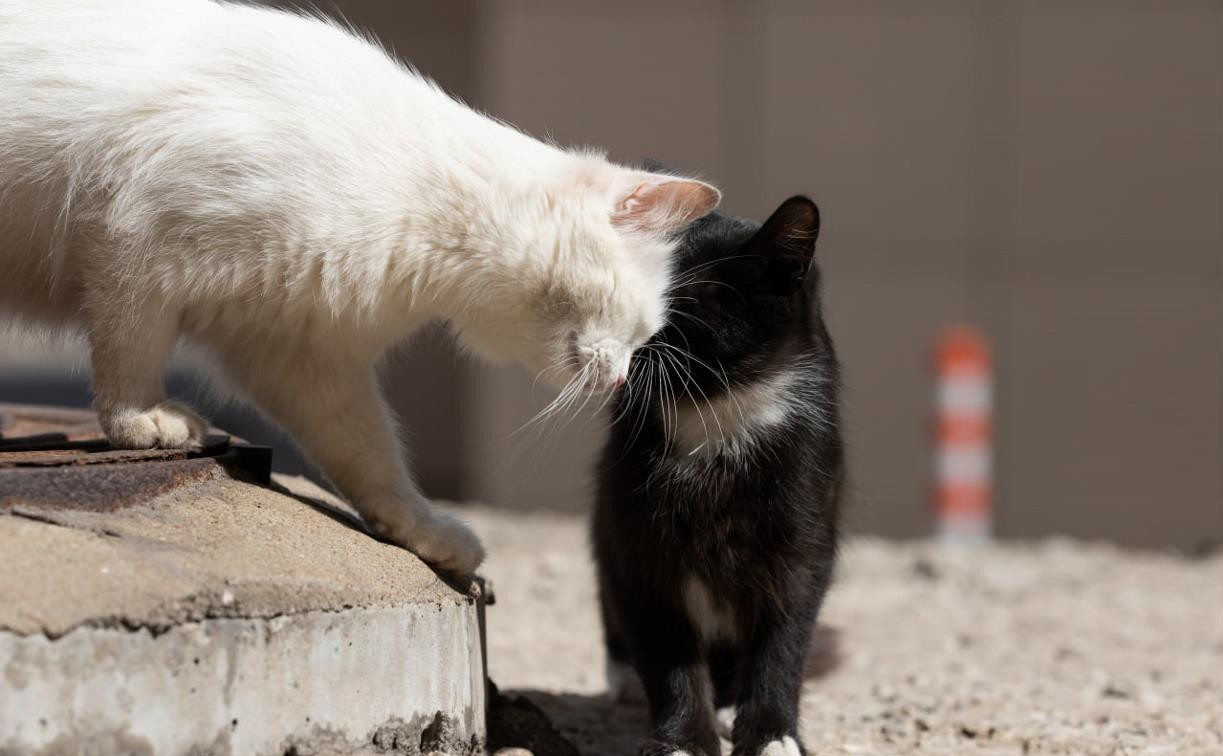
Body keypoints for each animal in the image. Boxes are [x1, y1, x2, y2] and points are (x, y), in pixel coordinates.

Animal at [0, 1, 719, 570]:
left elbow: (370, 457)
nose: (621, 378)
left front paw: (427, 534)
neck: (430, 225)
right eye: (638, 327)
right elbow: (130, 350)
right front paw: (141, 420)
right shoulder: (138, 240)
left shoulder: (299, 350)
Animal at [591, 190, 841, 748]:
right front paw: (683, 740)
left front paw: (771, 734)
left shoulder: (804, 532)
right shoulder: (637, 539)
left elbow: (784, 639)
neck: (714, 417)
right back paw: (628, 679)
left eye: (691, 296)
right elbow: (667, 649)